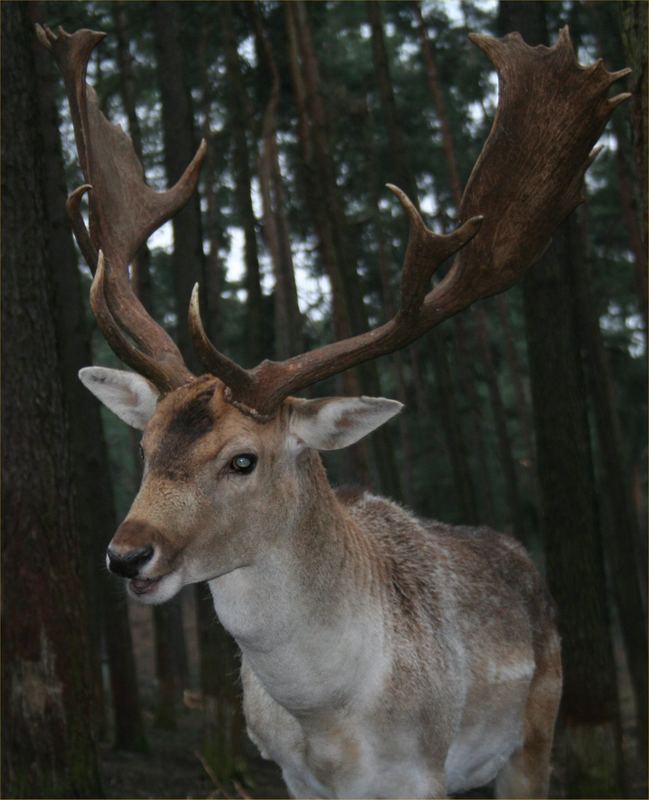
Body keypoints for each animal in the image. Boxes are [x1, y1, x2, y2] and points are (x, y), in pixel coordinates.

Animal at [38, 21, 632, 800]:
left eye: (243, 459)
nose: (127, 554)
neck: (328, 720)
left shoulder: (423, 771)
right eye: (146, 446)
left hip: (534, 732)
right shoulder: (291, 776)